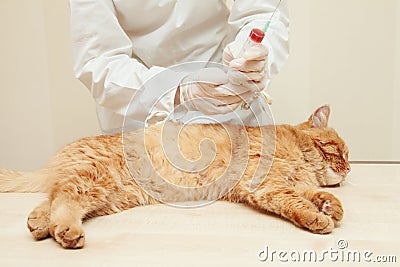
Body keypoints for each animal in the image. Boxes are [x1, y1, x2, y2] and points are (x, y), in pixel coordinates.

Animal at [0, 104, 350, 249]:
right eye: (342, 152)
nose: (348, 169)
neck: (300, 157)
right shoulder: (268, 184)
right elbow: (296, 202)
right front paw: (318, 218)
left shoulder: (289, 183)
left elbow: (316, 194)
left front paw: (331, 205)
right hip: (96, 180)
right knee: (64, 201)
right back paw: (66, 231)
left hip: (111, 195)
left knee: (51, 199)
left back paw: (38, 224)